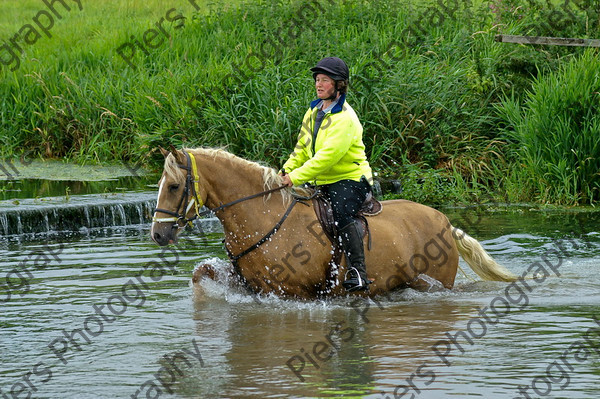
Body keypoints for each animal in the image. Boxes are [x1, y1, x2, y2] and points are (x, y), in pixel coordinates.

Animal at [150, 148, 516, 298]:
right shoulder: (249, 284)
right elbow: (200, 274)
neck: (262, 217)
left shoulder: (291, 293)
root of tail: (444, 222)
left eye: (174, 186)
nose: (158, 233)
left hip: (437, 282)